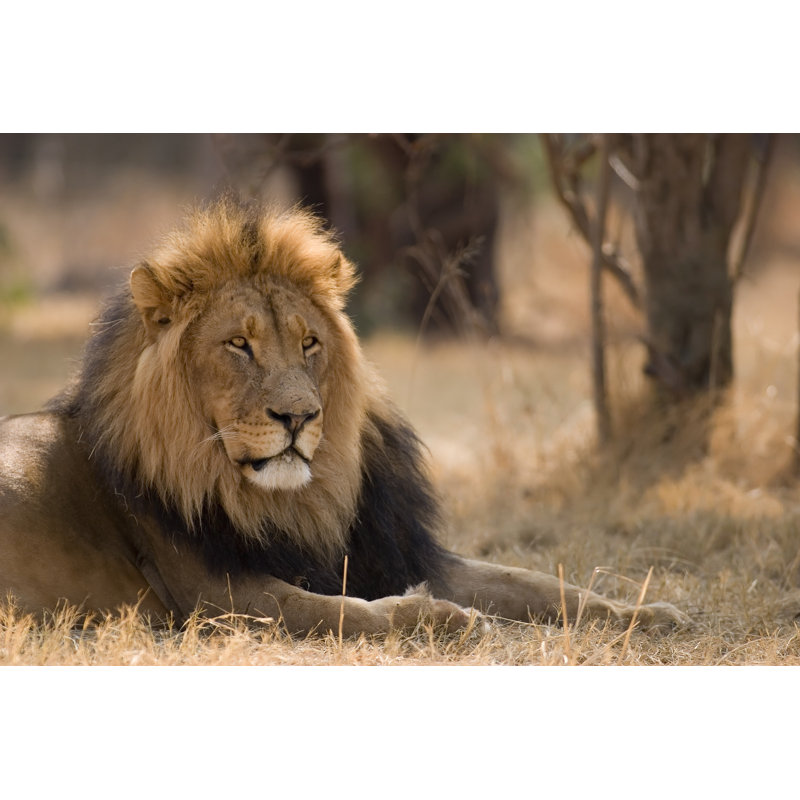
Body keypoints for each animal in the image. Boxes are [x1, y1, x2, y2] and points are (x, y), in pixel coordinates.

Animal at [0, 200, 685, 636]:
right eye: (238, 345)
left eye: (309, 343)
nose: (299, 416)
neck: (296, 501)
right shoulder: (214, 596)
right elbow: (338, 611)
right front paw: (438, 618)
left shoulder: (395, 551)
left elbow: (537, 582)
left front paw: (645, 614)